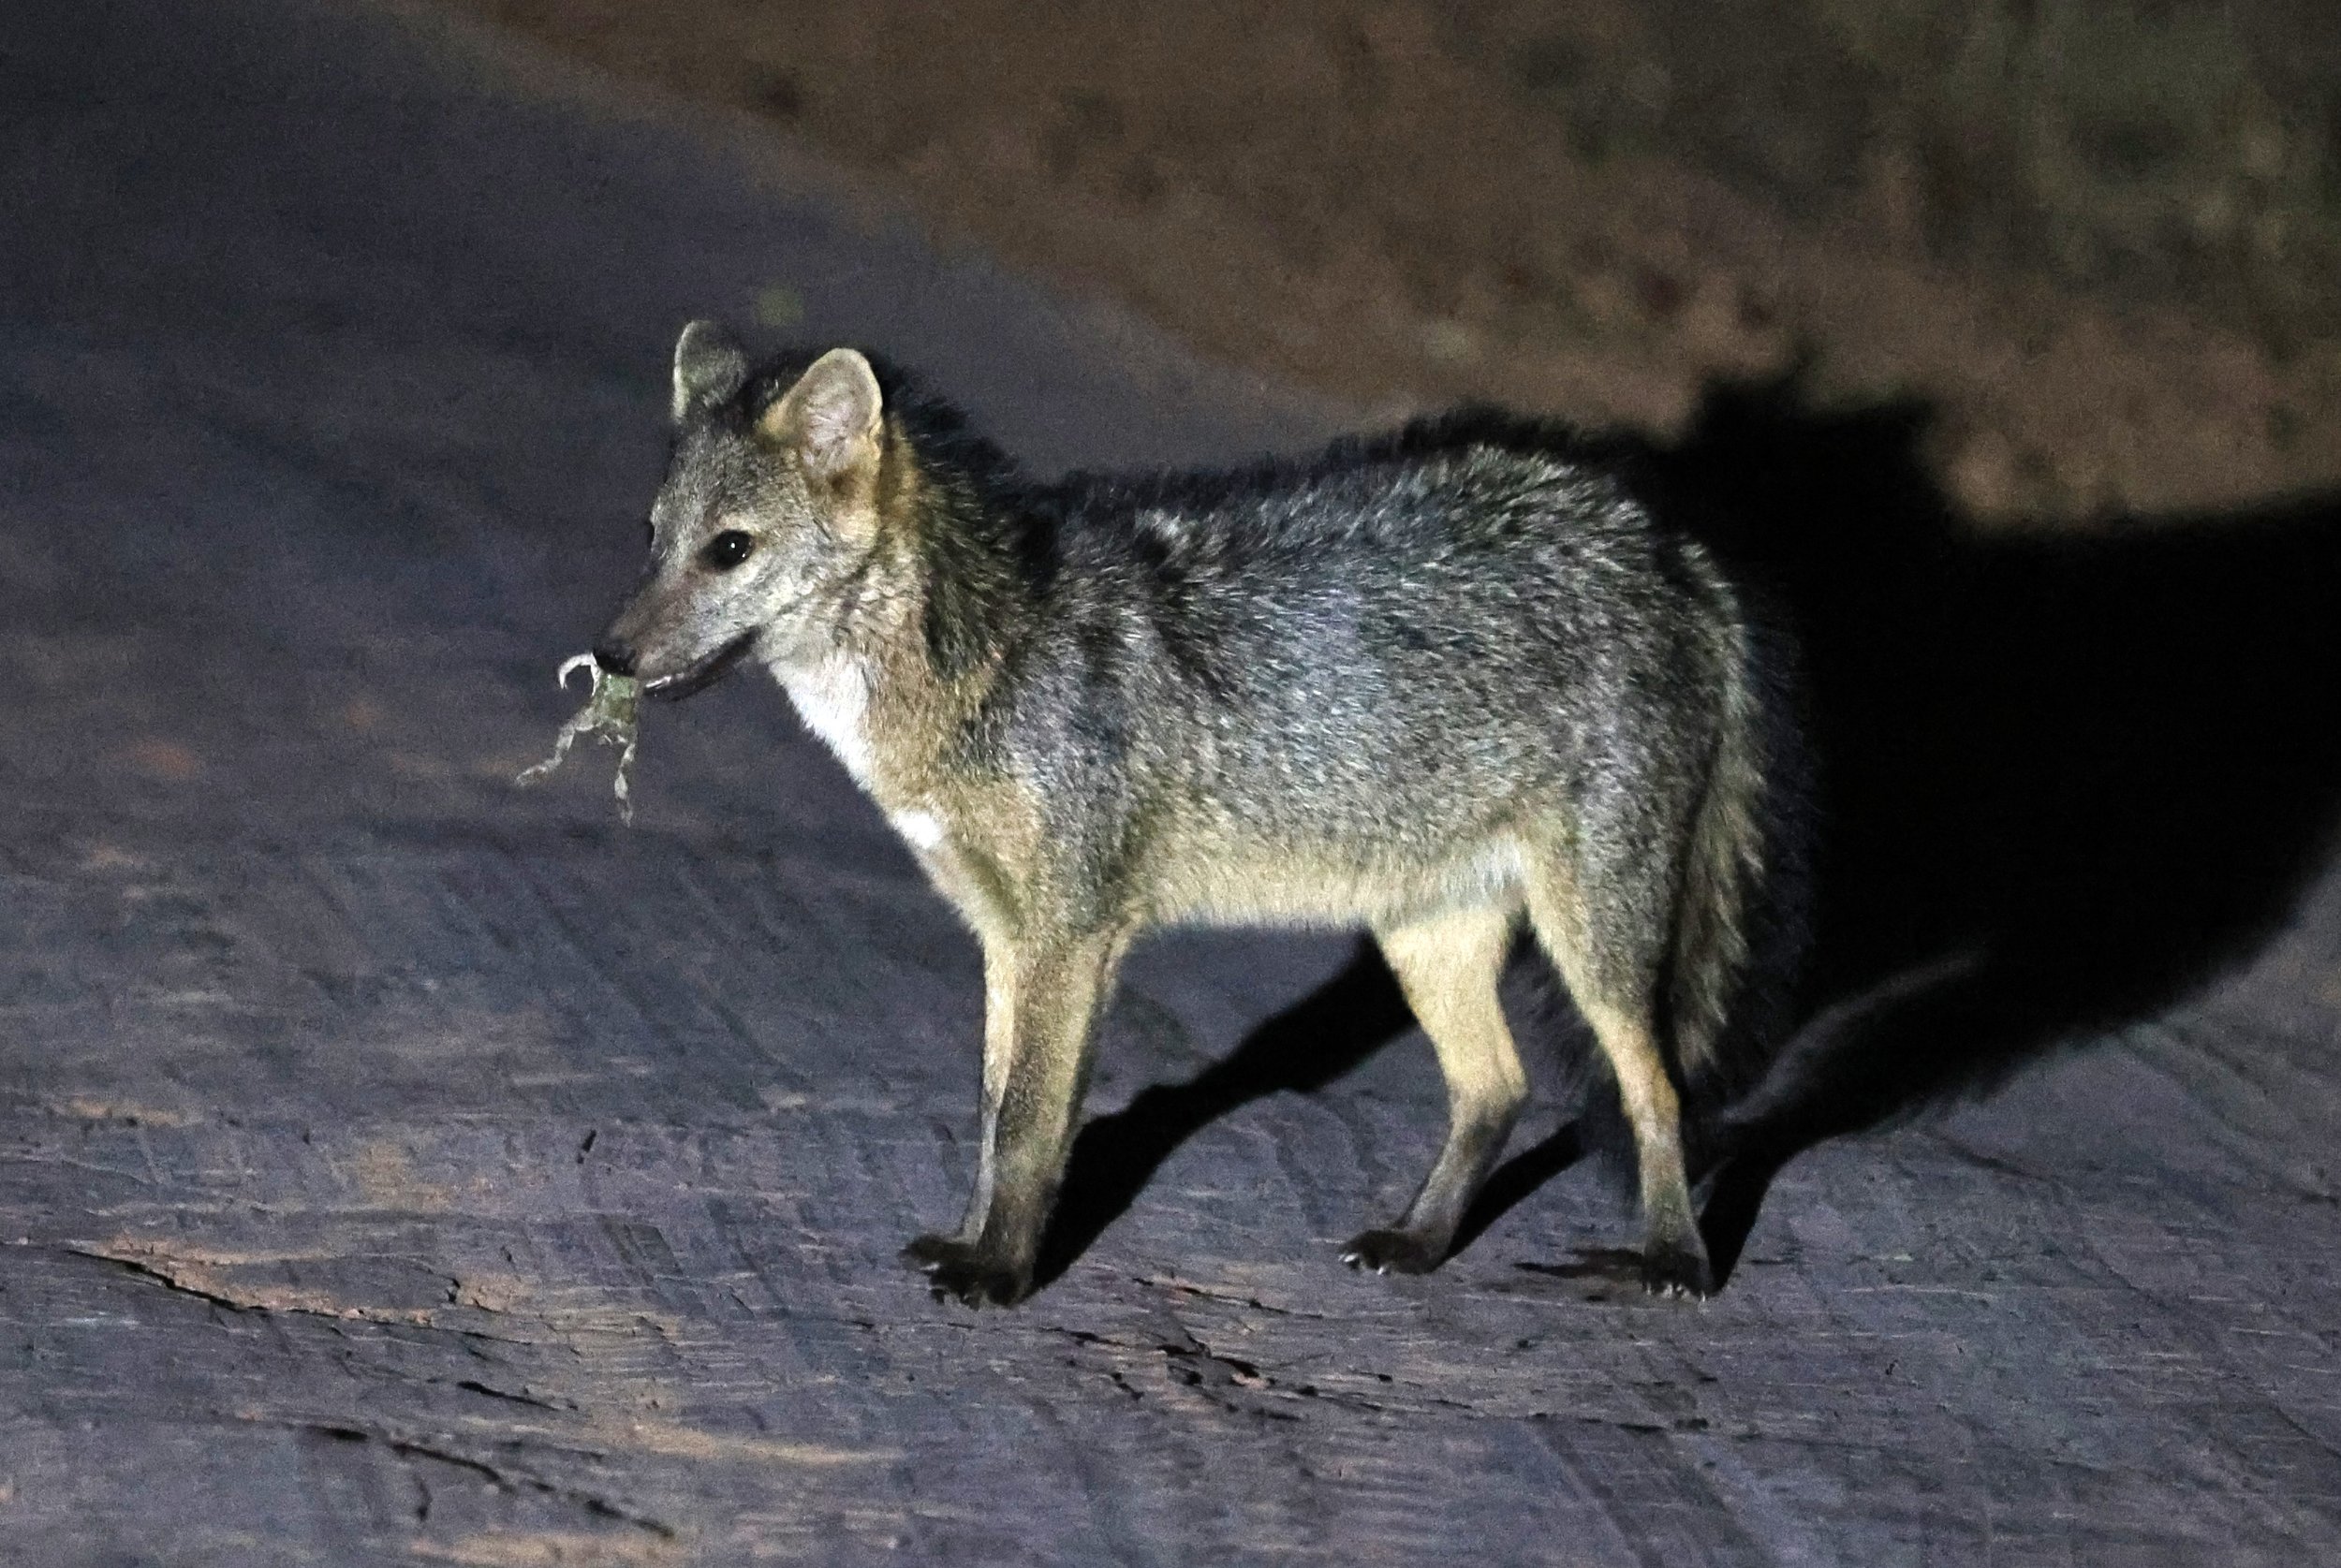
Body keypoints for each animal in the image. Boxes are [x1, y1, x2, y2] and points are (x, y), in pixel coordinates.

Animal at [588, 321, 1810, 1307]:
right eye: (650, 535)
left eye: (729, 549)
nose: (609, 657)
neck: (988, 659)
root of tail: (1668, 545)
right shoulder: (1005, 937)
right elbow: (992, 1118)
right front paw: (978, 1243)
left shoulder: (1072, 937)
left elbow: (1029, 1126)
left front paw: (1000, 1276)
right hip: (1423, 931)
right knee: (1496, 1088)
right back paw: (1417, 1243)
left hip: (1592, 938)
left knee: (1657, 1091)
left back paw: (1674, 1263)